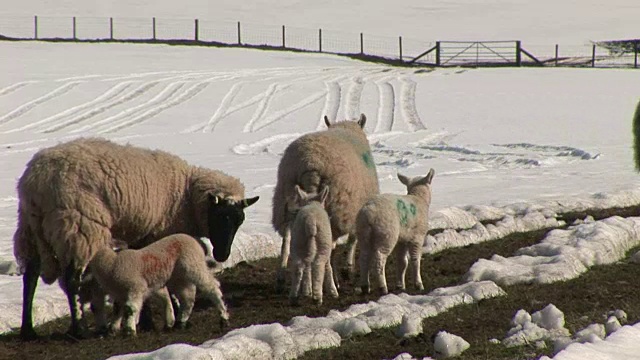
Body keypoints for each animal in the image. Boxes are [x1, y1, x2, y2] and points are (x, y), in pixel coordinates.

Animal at [87, 232, 230, 336]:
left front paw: (129, 331)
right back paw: (180, 323)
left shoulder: (136, 287)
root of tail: (194, 239)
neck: (112, 264)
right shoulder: (121, 293)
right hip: (178, 277)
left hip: (193, 264)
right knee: (188, 297)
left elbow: (130, 309)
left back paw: (223, 316)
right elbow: (118, 309)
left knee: (211, 287)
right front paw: (114, 328)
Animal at [272, 114, 380, 292]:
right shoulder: (356, 211)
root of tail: (310, 161)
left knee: (286, 242)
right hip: (336, 208)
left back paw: (282, 279)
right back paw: (331, 285)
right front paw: (347, 270)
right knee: (327, 248)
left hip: (285, 202)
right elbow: (352, 240)